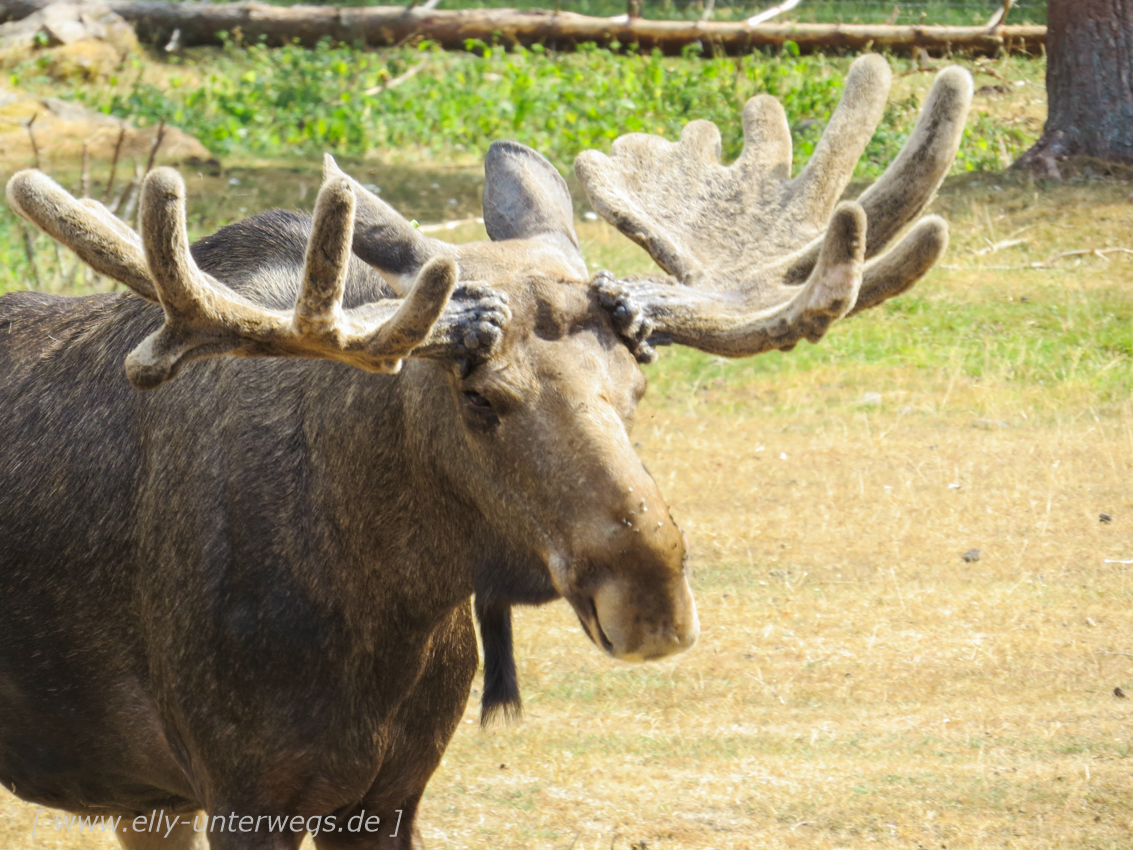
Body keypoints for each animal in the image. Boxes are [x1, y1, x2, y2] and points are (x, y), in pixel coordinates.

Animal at [2, 54, 974, 850]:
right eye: (478, 396)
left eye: (638, 382)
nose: (651, 598)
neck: (384, 611)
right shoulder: (246, 790)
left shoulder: (391, 794)